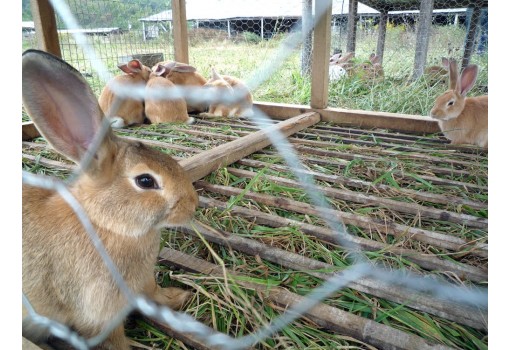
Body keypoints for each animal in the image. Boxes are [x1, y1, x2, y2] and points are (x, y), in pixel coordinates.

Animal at [21, 49, 198, 350]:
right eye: (146, 181)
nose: (193, 204)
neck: (105, 224)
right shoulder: (99, 316)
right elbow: (114, 341)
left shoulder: (143, 282)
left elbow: (155, 293)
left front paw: (178, 297)